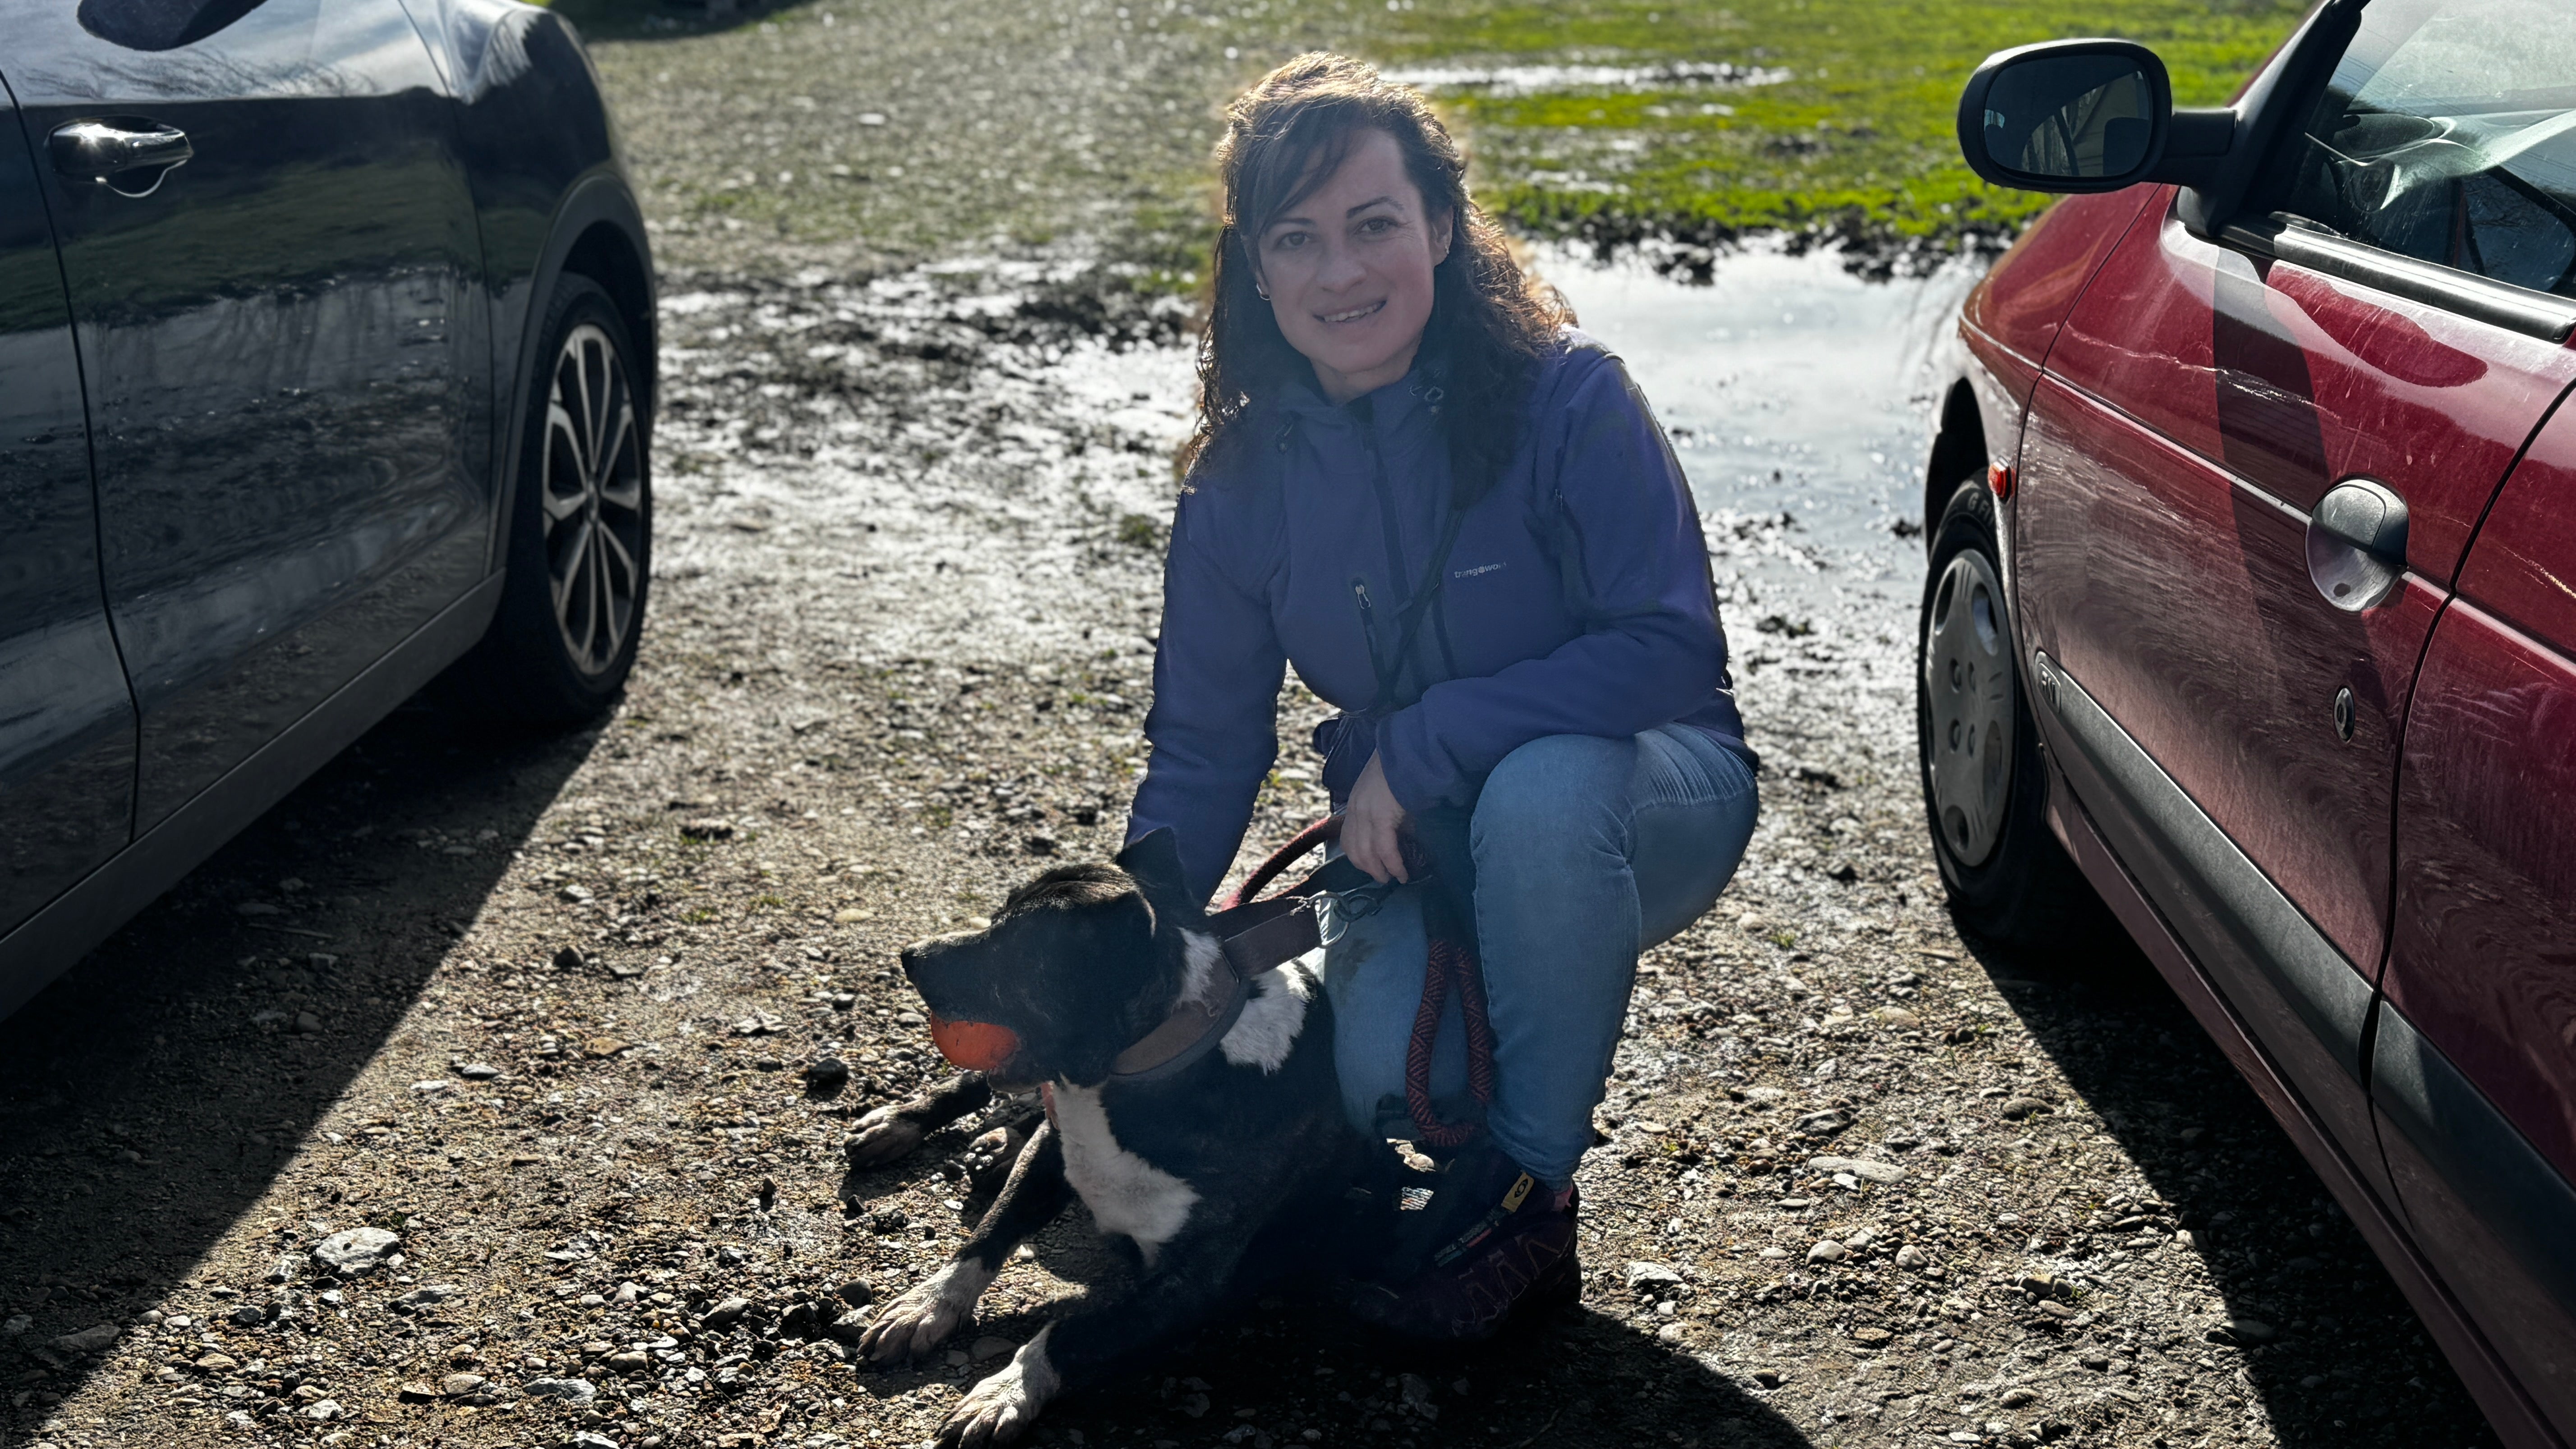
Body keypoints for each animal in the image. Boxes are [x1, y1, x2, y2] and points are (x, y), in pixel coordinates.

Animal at [850, 829, 1401, 1449]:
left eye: (1014, 947)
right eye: (996, 918)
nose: (910, 955)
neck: (1134, 1075)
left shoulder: (1186, 1285)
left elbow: (1072, 1331)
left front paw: (1006, 1389)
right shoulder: (1054, 1150)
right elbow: (988, 1234)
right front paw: (927, 1305)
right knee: (979, 1086)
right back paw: (904, 1123)